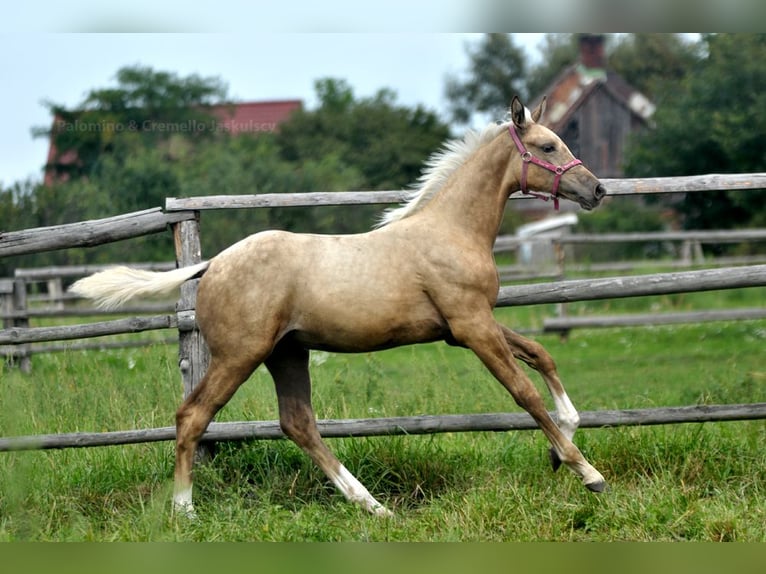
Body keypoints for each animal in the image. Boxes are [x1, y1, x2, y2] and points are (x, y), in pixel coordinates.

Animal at [69, 97, 608, 520]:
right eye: (547, 147)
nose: (597, 189)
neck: (451, 230)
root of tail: (212, 264)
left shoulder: (465, 328)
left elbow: (542, 356)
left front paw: (561, 448)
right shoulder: (472, 326)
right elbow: (524, 393)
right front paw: (586, 472)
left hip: (286, 353)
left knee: (297, 424)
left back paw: (373, 505)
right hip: (240, 355)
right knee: (193, 415)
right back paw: (185, 510)